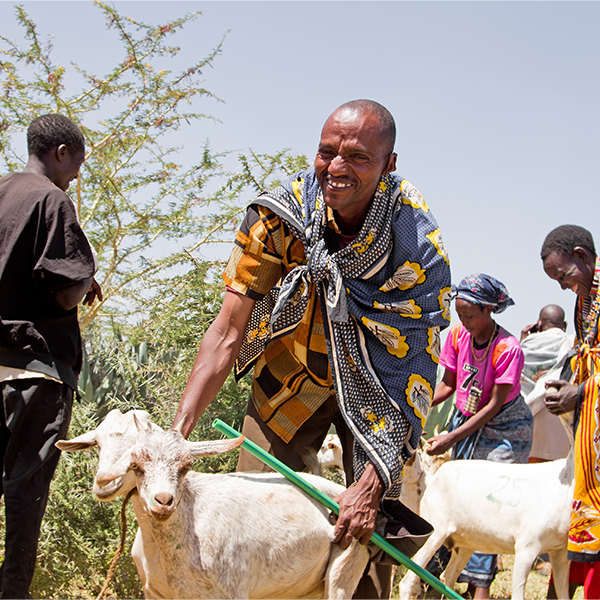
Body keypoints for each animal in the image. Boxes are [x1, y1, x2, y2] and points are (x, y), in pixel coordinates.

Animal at [59, 412, 370, 600]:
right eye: (97, 444)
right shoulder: (155, 593)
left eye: (185, 466)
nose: (163, 500)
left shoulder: (230, 593)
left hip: (343, 575)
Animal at [398, 450, 572, 600]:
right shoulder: (526, 548)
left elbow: (564, 593)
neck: (562, 488)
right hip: (435, 532)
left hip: (465, 545)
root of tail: (434, 477)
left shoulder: (560, 553)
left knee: (447, 577)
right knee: (407, 582)